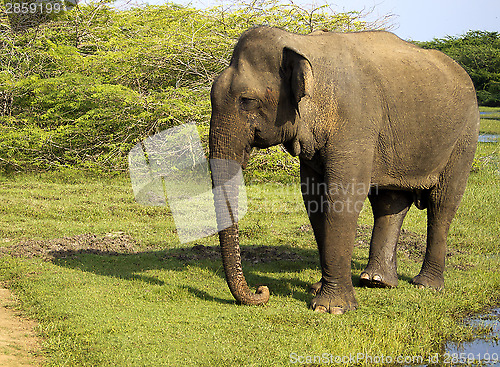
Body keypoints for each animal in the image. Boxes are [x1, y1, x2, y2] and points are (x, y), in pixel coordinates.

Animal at [208, 26, 480, 314]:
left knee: (442, 203)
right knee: (390, 202)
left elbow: (343, 198)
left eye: (247, 100)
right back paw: (376, 281)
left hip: (465, 135)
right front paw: (317, 290)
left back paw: (426, 285)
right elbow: (314, 200)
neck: (301, 43)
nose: (262, 291)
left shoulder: (354, 121)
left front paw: (331, 308)